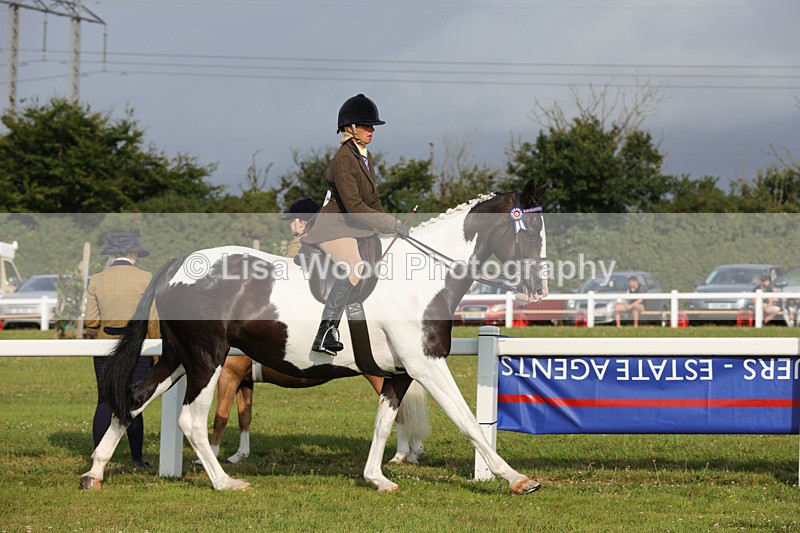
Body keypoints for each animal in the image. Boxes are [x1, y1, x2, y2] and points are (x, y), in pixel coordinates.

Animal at [205, 356, 429, 464]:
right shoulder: (244, 380)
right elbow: (244, 417)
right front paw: (240, 455)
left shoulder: (229, 375)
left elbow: (220, 418)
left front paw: (211, 455)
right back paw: (412, 453)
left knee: (400, 414)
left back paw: (402, 454)